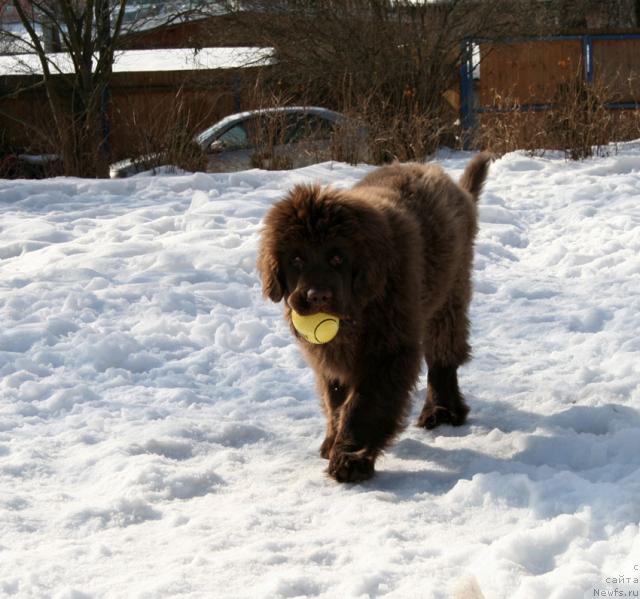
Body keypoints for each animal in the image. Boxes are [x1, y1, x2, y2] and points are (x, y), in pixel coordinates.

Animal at [256, 155, 490, 482]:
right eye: (297, 259)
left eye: (337, 258)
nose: (318, 296)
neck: (355, 312)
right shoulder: (329, 357)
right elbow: (335, 398)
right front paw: (333, 440)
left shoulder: (388, 350)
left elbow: (364, 405)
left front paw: (349, 458)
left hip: (449, 292)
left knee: (443, 354)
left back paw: (442, 410)